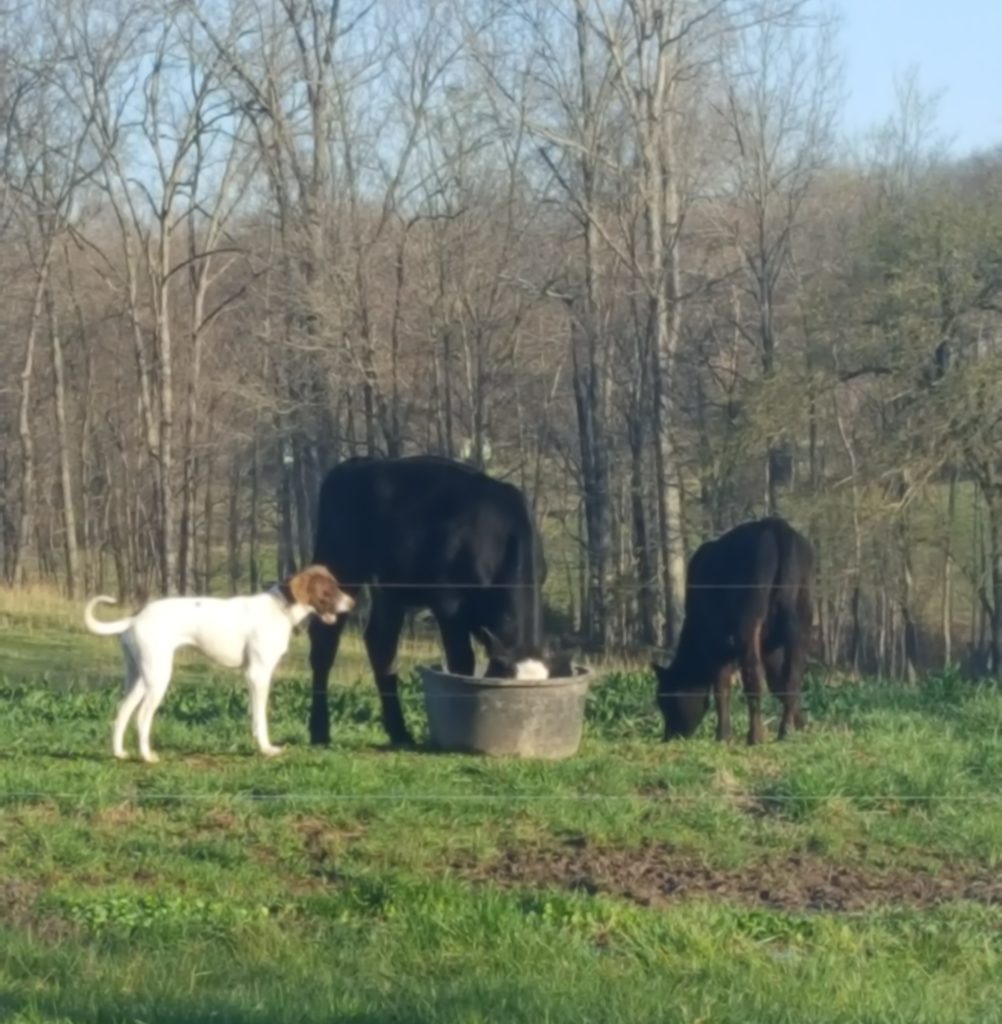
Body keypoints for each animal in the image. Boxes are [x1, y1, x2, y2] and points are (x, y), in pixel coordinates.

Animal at [84, 569, 354, 761]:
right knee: (141, 717)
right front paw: (266, 749)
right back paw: (147, 756)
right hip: (158, 677)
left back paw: (119, 753)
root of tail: (134, 618)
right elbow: (261, 717)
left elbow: (254, 717)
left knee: (122, 711)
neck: (280, 609)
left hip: (140, 678)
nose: (353, 603)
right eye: (329, 589)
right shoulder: (258, 674)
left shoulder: (251, 676)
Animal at [305, 456, 556, 745]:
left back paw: (399, 733)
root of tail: (355, 464)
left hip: (390, 588)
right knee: (325, 639)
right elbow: (462, 660)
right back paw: (320, 731)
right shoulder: (449, 603)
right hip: (340, 564)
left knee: (381, 645)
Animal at [659, 520, 814, 745]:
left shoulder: (717, 642)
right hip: (802, 615)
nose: (668, 736)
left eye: (665, 702)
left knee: (753, 676)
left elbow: (721, 686)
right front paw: (802, 725)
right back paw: (785, 730)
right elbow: (778, 681)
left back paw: (755, 736)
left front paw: (723, 736)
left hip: (750, 620)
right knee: (793, 673)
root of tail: (776, 526)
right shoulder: (769, 648)